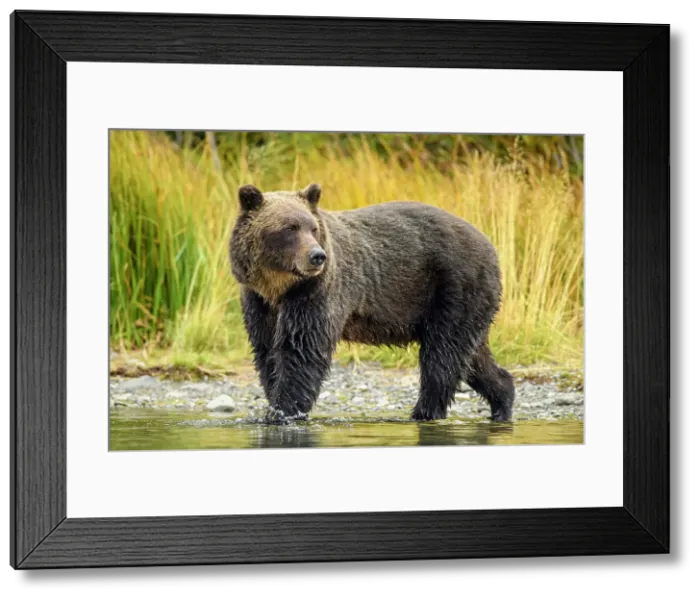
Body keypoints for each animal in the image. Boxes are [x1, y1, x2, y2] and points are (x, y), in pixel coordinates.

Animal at [228, 182, 515, 424]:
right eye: (289, 228)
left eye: (313, 228)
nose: (317, 256)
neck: (279, 287)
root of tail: (489, 244)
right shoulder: (259, 301)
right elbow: (267, 351)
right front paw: (275, 405)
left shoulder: (316, 292)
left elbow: (302, 349)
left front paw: (283, 411)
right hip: (467, 302)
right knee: (471, 357)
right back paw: (502, 399)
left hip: (454, 287)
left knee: (442, 356)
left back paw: (424, 413)